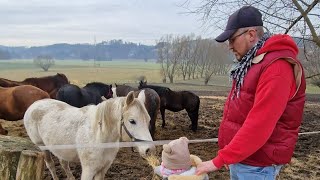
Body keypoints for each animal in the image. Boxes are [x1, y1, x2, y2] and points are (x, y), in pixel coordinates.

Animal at [23, 92, 154, 179]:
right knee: (51, 165)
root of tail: (35, 104)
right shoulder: (88, 170)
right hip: (42, 146)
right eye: (132, 121)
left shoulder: (102, 169)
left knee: (64, 164)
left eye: (148, 120)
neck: (99, 136)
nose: (150, 150)